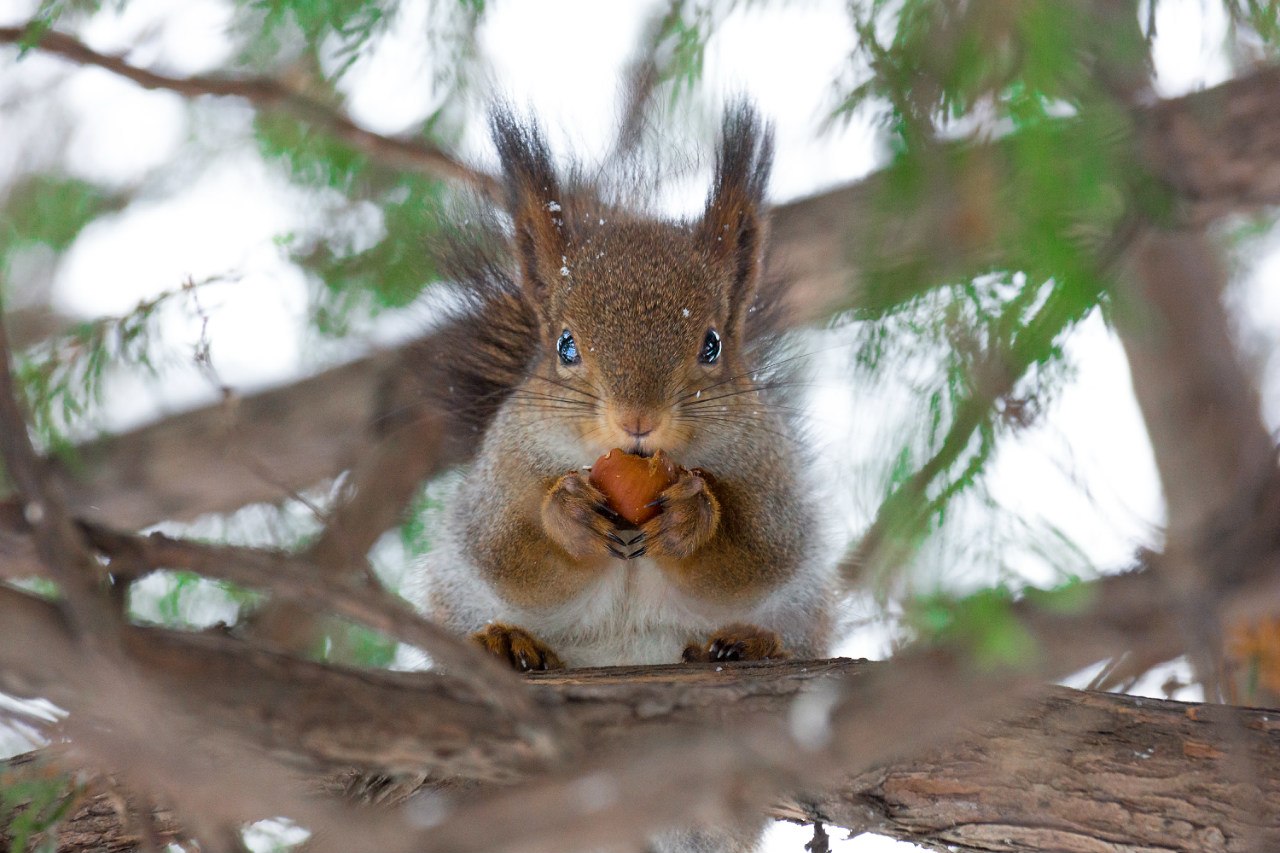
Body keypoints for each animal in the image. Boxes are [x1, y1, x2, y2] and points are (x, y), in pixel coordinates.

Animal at [404, 101, 834, 671]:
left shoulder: (768, 476)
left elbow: (756, 554)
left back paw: (748, 645)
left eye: (712, 345)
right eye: (565, 346)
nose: (638, 420)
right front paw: (568, 513)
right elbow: (508, 555)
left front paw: (691, 516)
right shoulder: (503, 473)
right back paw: (508, 642)